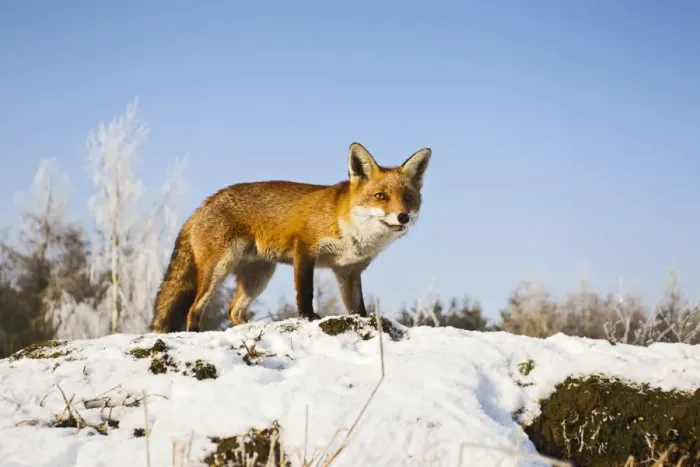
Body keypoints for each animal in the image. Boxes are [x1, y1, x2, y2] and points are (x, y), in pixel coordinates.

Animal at [150, 142, 432, 333]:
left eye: (408, 198)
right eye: (380, 196)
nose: (403, 217)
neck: (355, 234)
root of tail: (203, 204)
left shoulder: (349, 271)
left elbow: (357, 308)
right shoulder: (305, 250)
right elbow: (305, 293)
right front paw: (309, 318)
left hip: (259, 277)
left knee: (233, 310)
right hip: (219, 269)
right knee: (194, 309)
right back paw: (195, 332)